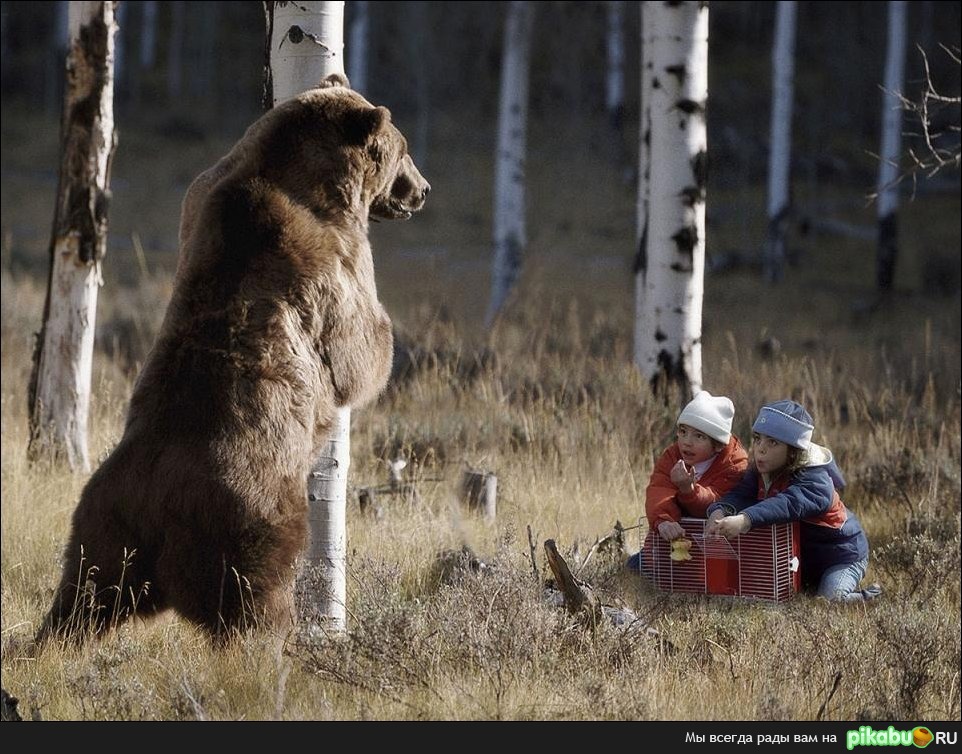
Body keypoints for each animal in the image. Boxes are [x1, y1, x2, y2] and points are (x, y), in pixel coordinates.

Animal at [36, 75, 428, 640]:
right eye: (404, 149)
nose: (421, 189)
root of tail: (159, 509)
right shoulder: (331, 257)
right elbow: (357, 349)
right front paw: (382, 344)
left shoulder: (202, 196)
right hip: (250, 523)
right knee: (255, 603)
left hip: (104, 528)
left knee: (80, 597)